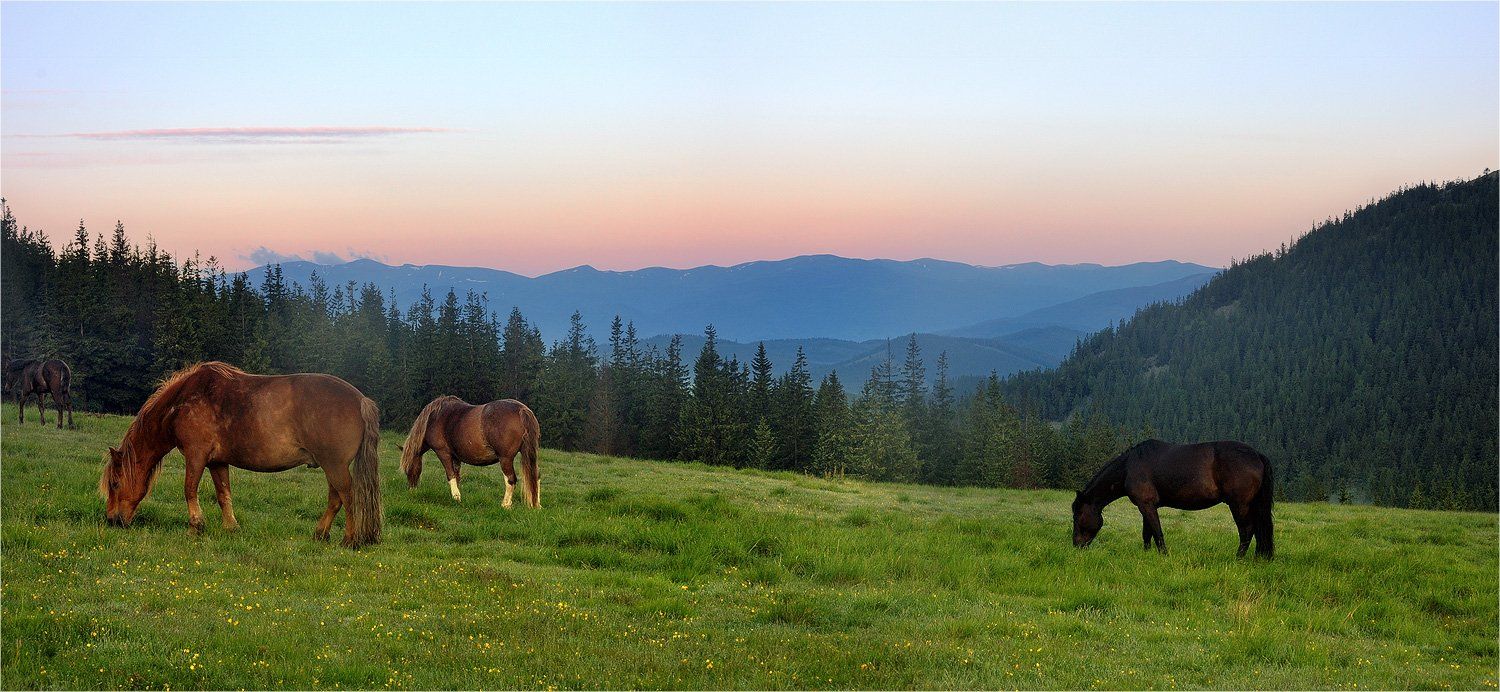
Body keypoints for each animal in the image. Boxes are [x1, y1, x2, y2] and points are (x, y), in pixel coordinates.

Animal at [97, 361, 384, 543]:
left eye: (115, 483)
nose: (112, 520)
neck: (184, 401)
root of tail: (361, 400)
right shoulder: (217, 462)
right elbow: (224, 495)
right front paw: (230, 527)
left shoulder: (196, 455)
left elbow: (189, 489)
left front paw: (195, 527)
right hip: (331, 466)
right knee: (335, 500)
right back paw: (319, 534)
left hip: (334, 466)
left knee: (347, 497)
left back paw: (349, 539)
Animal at [402, 393, 543, 507]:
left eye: (407, 468)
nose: (411, 489)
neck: (434, 418)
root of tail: (521, 409)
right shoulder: (456, 457)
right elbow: (457, 476)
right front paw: (457, 496)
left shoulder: (443, 453)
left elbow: (450, 475)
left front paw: (456, 497)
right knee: (536, 476)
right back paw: (536, 505)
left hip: (505, 459)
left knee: (511, 479)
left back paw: (505, 504)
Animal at [1074, 438, 1272, 558]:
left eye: (1078, 516)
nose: (1076, 545)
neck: (1129, 467)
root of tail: (1256, 455)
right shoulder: (1147, 506)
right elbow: (1147, 534)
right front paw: (1147, 555)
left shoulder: (1146, 505)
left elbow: (1157, 532)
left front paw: (1164, 555)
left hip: (1239, 505)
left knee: (1247, 530)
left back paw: (1238, 558)